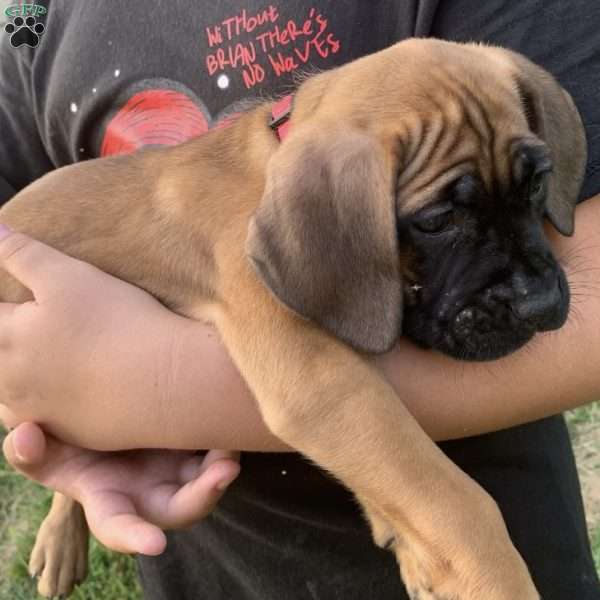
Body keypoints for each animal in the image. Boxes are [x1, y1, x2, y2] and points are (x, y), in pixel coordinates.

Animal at [0, 38, 584, 600]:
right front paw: (496, 579)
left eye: (536, 184)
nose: (539, 304)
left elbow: (396, 472)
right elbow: (452, 498)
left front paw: (405, 537)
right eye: (438, 221)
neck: (271, 157)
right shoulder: (317, 383)